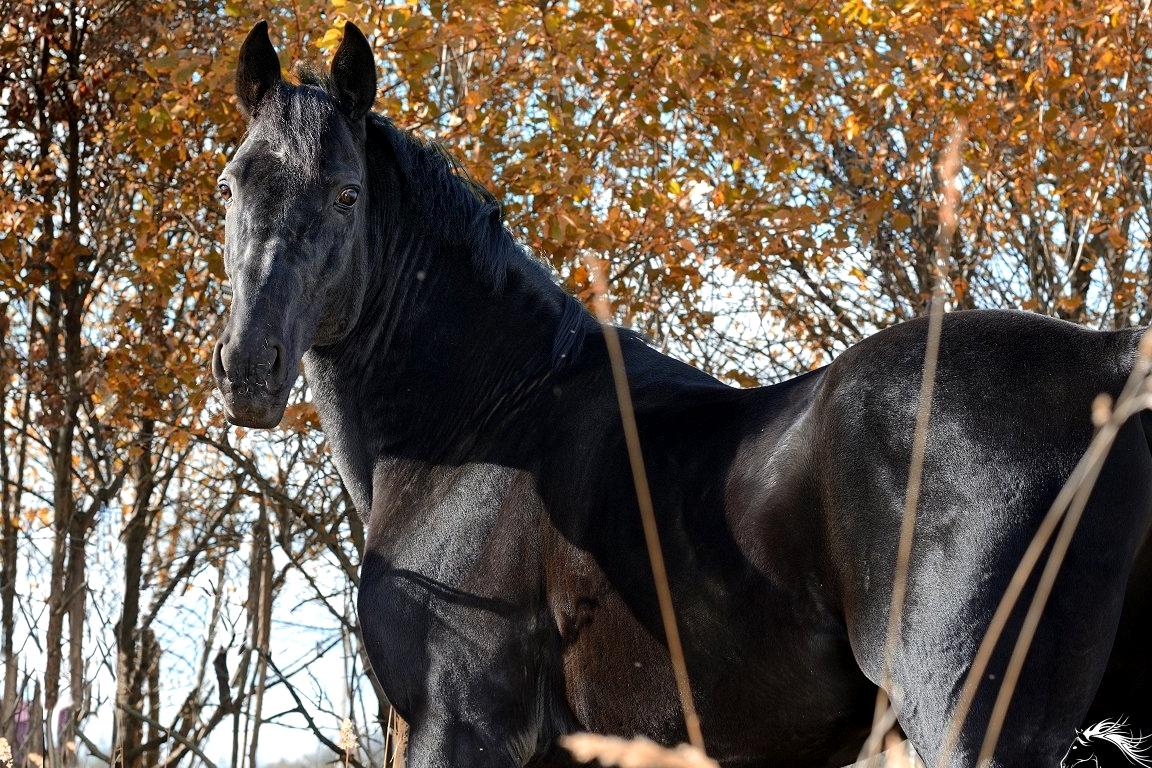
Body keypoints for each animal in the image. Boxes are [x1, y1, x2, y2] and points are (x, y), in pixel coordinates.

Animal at [211, 21, 1152, 764]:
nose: (249, 367)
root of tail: (1110, 361)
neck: (484, 427)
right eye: (232, 182)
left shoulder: (459, 726)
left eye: (347, 194)